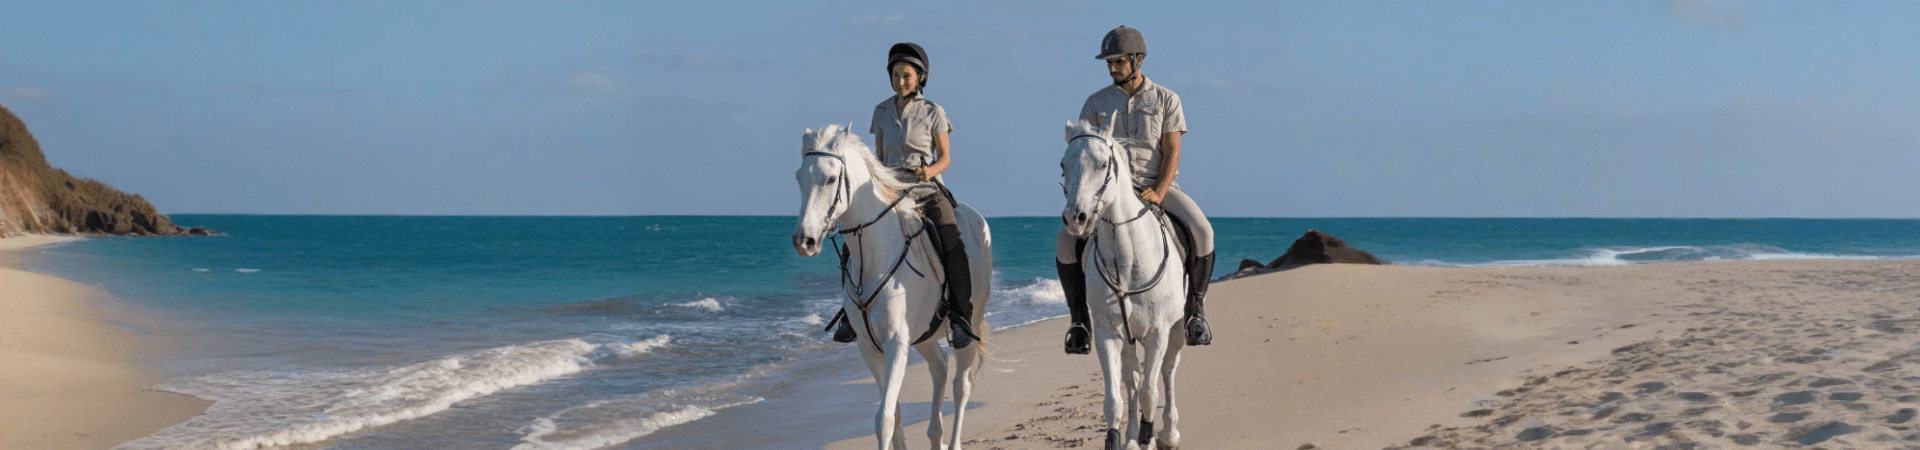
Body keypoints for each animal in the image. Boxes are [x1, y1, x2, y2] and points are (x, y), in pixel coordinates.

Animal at [791, 124, 994, 450]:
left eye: (831, 178)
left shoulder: (896, 344)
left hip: (971, 324)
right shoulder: (869, 347)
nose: (804, 241)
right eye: (799, 178)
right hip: (923, 334)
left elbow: (884, 418)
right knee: (939, 366)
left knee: (961, 386)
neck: (874, 254)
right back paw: (934, 435)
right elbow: (894, 414)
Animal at [1059, 118, 1188, 450]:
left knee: (1168, 372)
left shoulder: (1158, 333)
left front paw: (1149, 437)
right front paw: (1121, 438)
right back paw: (1131, 437)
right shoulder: (1109, 334)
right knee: (1132, 379)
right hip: (1129, 338)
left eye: (1103, 164)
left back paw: (1169, 433)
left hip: (1177, 329)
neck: (1128, 261)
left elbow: (1150, 392)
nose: (1075, 218)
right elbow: (1115, 399)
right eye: (1064, 165)